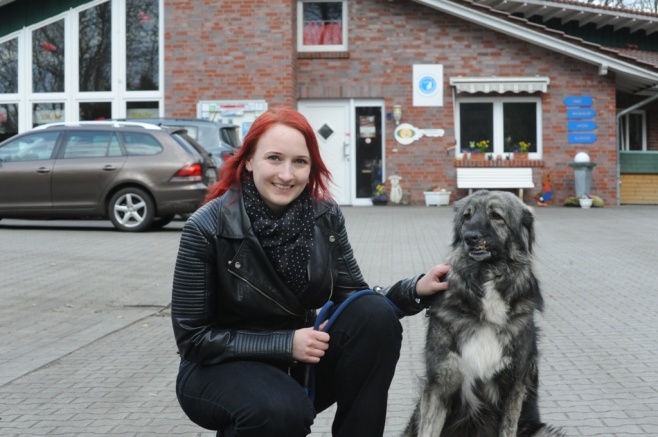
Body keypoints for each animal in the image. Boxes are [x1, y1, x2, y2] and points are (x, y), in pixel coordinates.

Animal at [402, 191, 560, 436]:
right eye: (467, 217)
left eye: (496, 216)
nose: (470, 237)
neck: (486, 280)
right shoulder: (439, 385)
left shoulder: (513, 387)